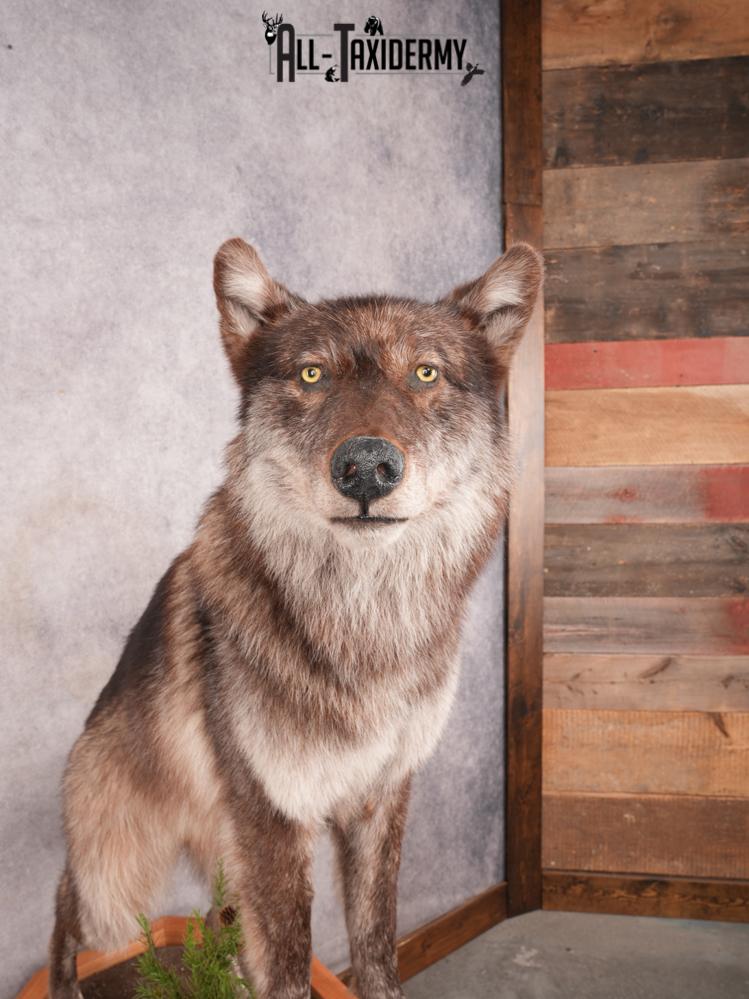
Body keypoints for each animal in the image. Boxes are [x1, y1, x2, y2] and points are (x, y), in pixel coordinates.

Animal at [49, 237, 541, 999]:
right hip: (116, 885)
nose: (366, 467)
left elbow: (374, 944)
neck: (362, 623)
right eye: (312, 373)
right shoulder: (275, 818)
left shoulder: (380, 799)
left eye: (425, 372)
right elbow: (287, 966)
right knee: (68, 909)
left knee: (218, 920)